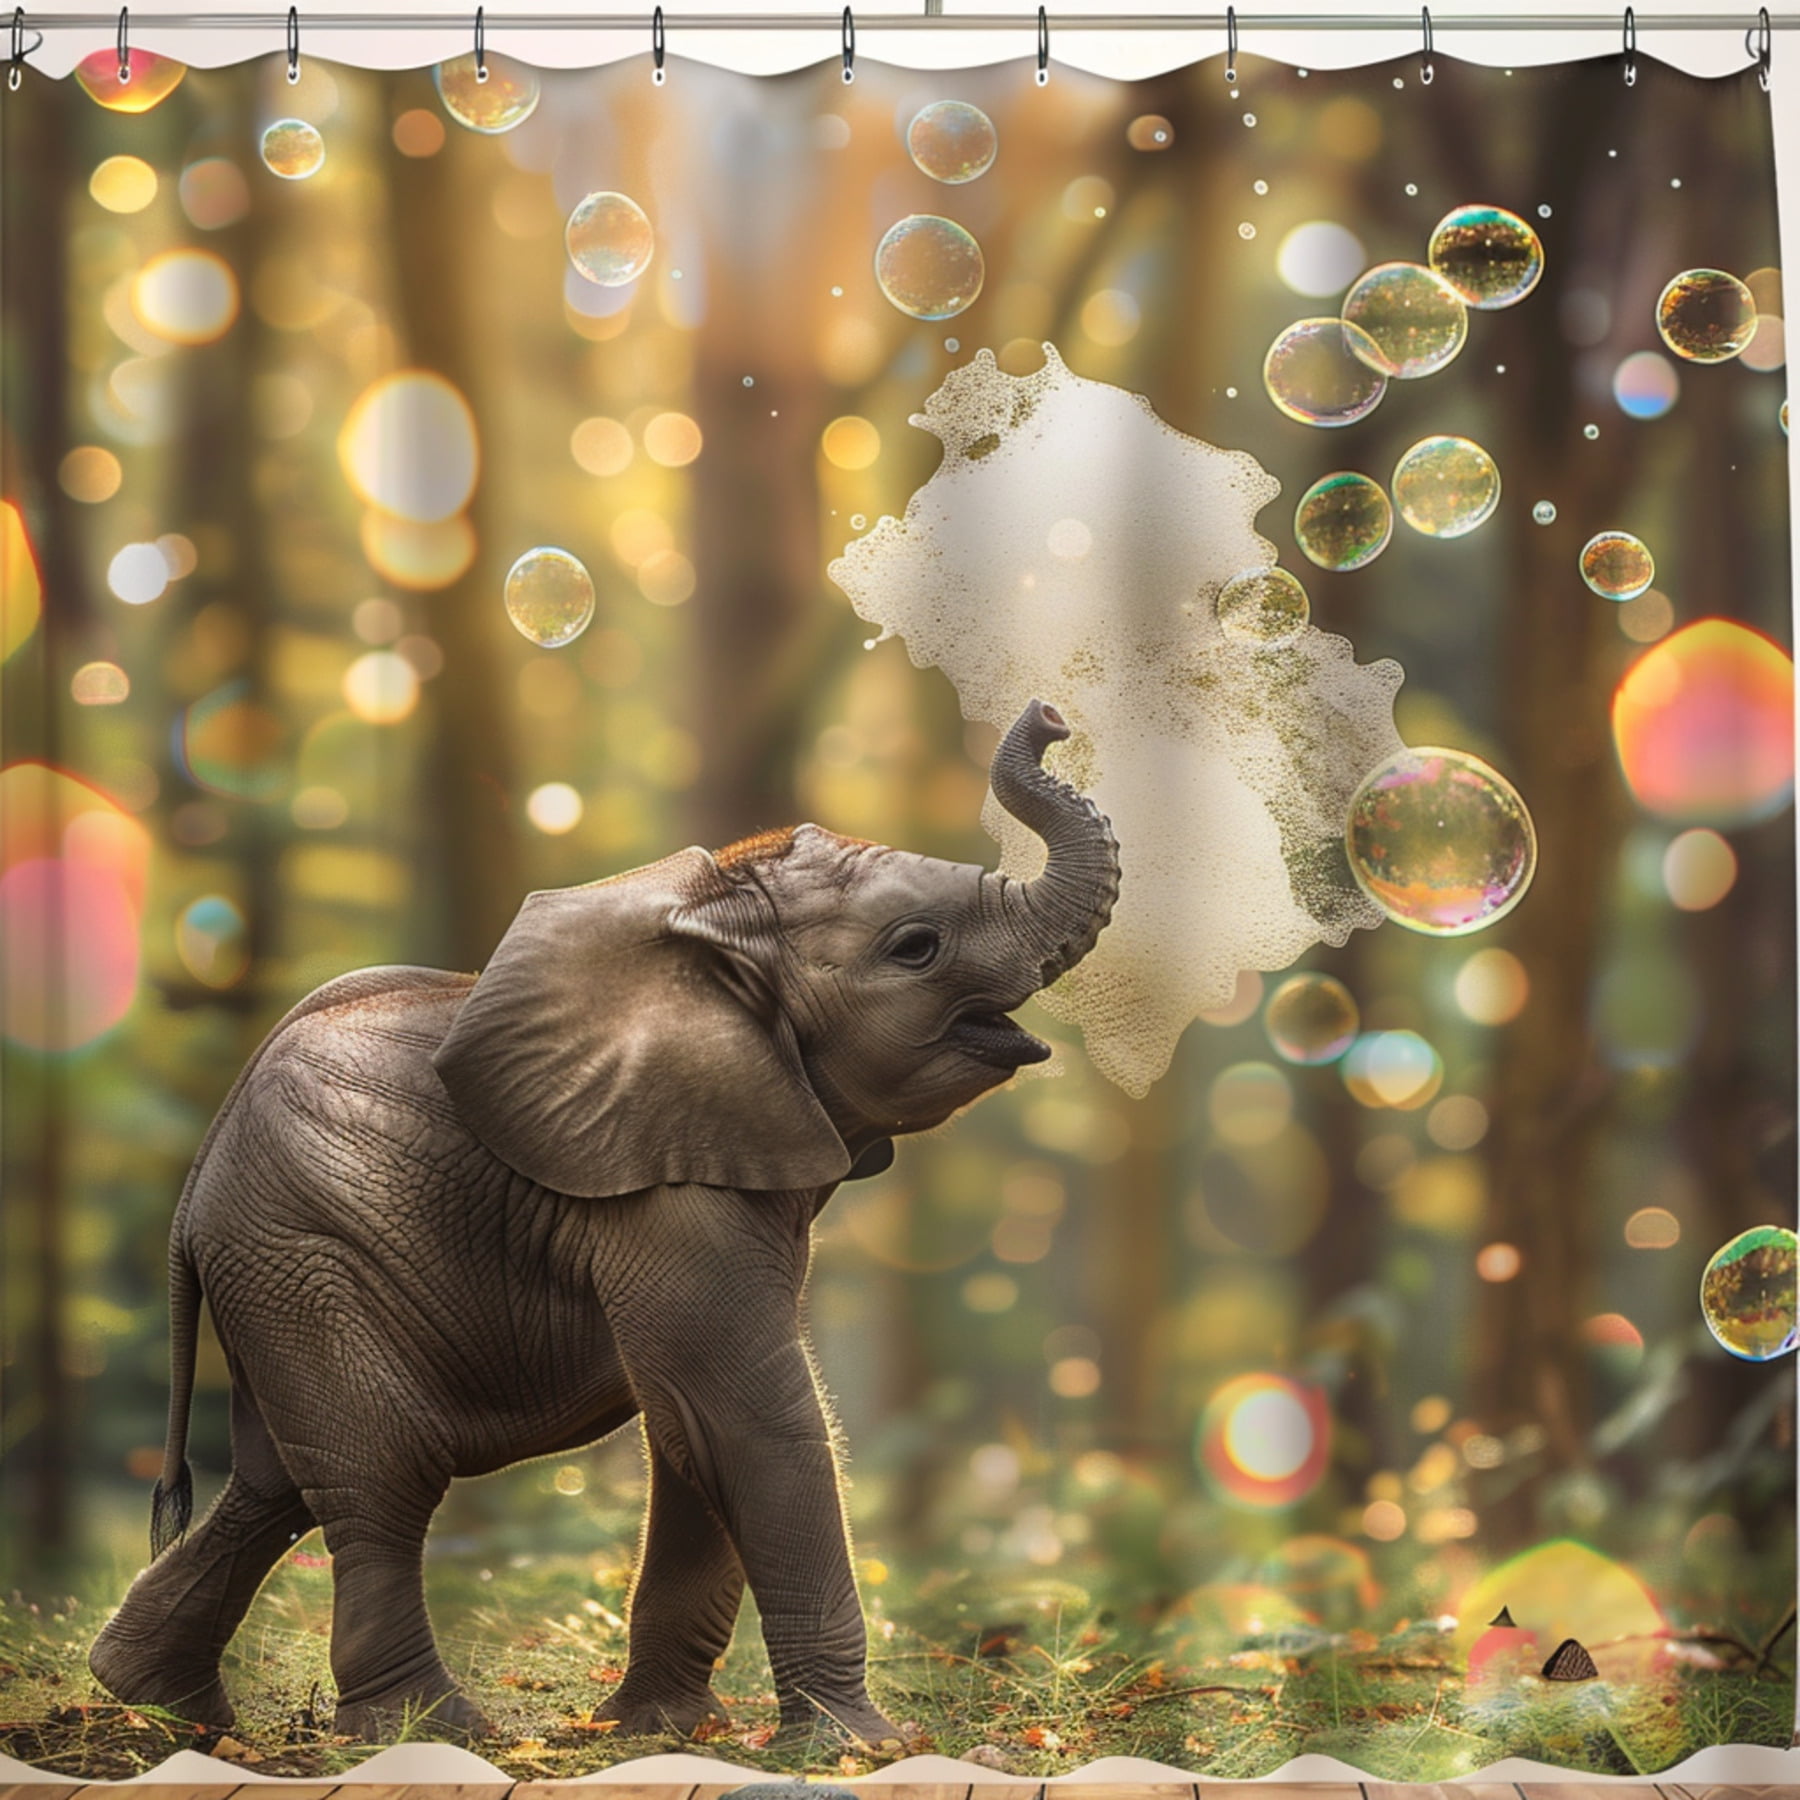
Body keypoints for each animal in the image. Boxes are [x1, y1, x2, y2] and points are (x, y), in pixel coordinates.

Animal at [87, 698, 1118, 1749]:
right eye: (915, 948)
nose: (1051, 716)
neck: (716, 931)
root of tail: (195, 1189)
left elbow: (690, 1427)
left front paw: (659, 1729)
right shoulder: (658, 1191)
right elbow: (748, 1415)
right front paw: (857, 1748)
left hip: (271, 1268)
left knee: (278, 1483)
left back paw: (159, 1703)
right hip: (303, 1252)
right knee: (382, 1471)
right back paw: (431, 1730)